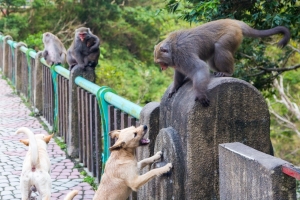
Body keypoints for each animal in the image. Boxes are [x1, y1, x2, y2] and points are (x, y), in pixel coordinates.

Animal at [154, 18, 290, 106]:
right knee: (212, 57)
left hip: (232, 34)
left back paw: (227, 72)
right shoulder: (178, 61)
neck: (172, 49)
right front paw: (175, 87)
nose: (161, 68)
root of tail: (234, 21)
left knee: (220, 47)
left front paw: (201, 94)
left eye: (159, 62)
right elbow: (180, 73)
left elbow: (200, 67)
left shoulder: (183, 54)